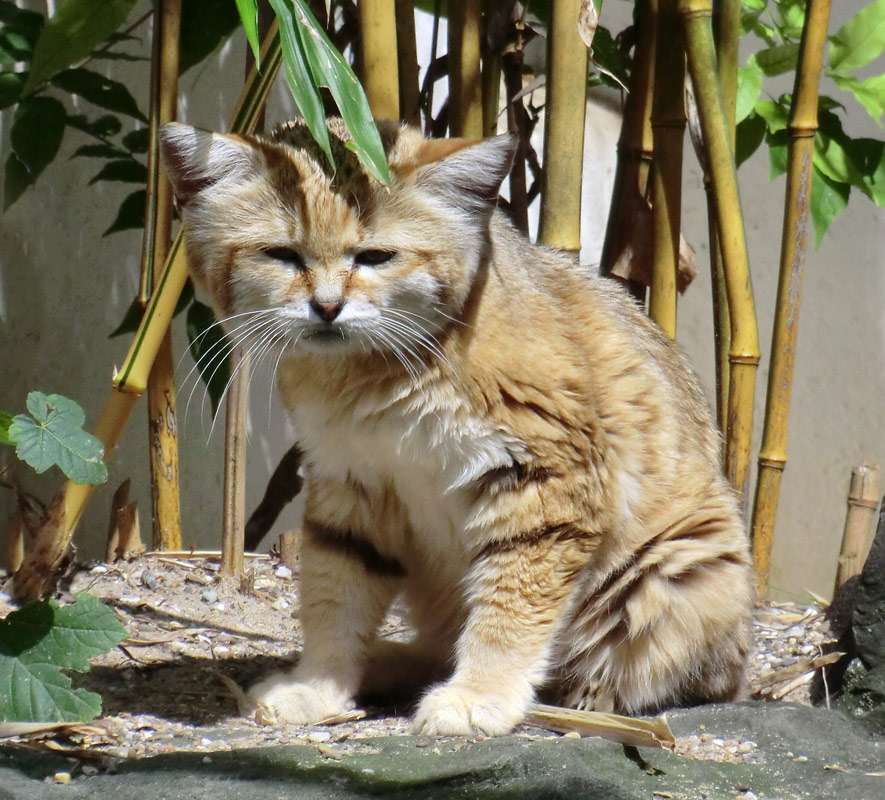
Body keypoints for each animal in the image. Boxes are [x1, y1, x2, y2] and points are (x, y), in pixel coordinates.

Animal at [161, 119, 752, 736]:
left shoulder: (546, 488)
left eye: (375, 256)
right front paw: (319, 686)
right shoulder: (350, 484)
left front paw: (479, 695)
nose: (326, 306)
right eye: (281, 254)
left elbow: (510, 607)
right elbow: (334, 596)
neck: (377, 375)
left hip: (673, 573)